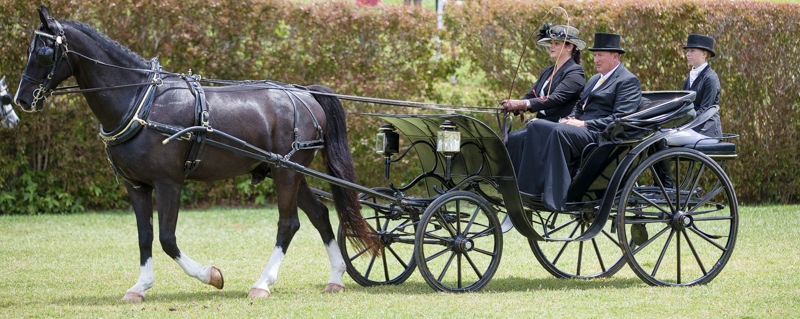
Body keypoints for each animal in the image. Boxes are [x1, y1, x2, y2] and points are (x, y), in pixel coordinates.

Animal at [17, 7, 380, 302]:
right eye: (30, 49)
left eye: (46, 52)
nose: (21, 98)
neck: (141, 102)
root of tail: (304, 93)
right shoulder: (136, 186)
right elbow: (145, 237)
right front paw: (140, 287)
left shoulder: (168, 183)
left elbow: (167, 238)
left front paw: (211, 275)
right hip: (290, 171)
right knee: (319, 214)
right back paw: (336, 278)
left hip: (287, 172)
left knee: (288, 223)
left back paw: (262, 283)